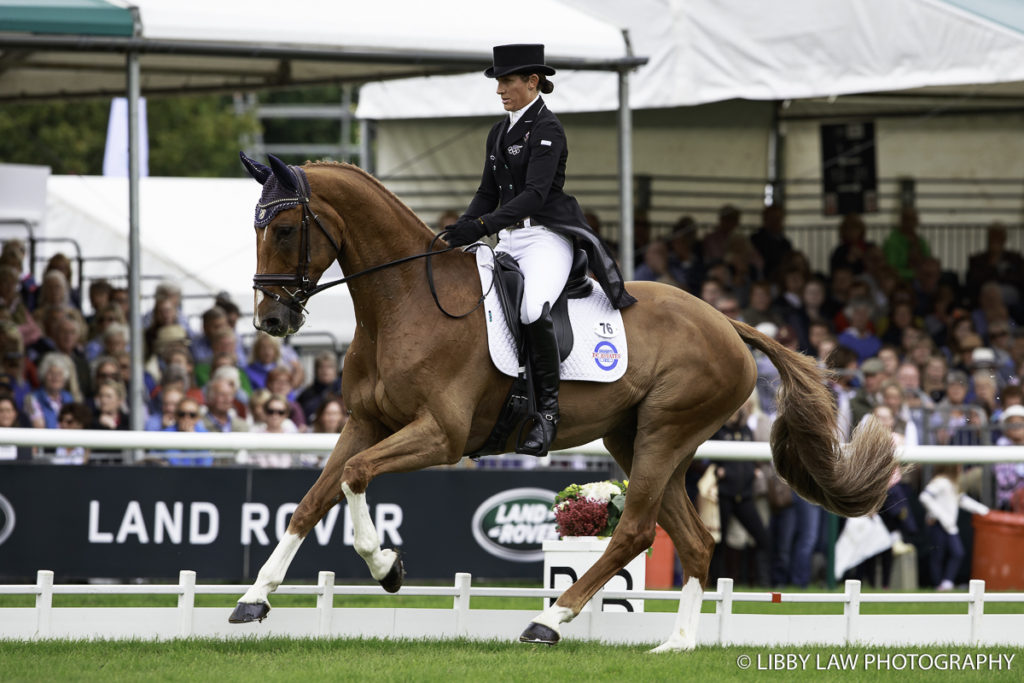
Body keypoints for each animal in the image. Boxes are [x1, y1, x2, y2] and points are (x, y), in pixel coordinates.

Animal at [226, 154, 897, 651]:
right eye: (254, 228)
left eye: (283, 229)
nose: (271, 320)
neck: (404, 301)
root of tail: (727, 322)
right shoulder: (364, 423)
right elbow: (313, 501)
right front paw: (254, 599)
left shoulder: (440, 435)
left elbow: (356, 479)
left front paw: (386, 567)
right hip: (639, 438)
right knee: (694, 541)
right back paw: (676, 644)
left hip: (663, 432)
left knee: (634, 530)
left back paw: (550, 620)